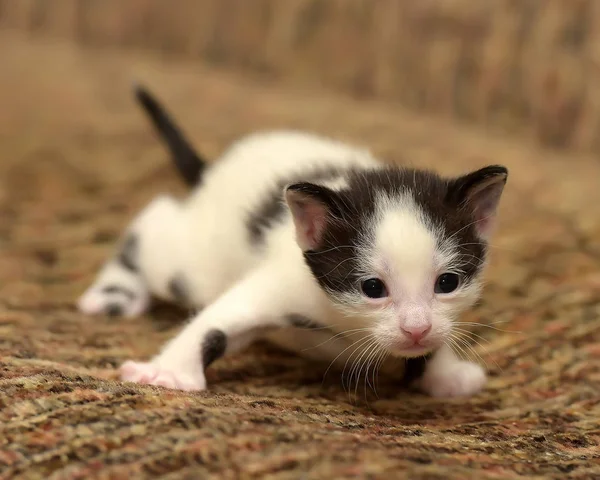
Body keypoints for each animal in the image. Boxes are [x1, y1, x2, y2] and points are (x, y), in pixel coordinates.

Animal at [77, 85, 508, 398]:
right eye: (372, 288)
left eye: (447, 283)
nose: (416, 329)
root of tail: (213, 171)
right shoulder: (285, 281)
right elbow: (215, 323)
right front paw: (166, 373)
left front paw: (445, 373)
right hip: (191, 261)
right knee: (154, 224)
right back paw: (115, 292)